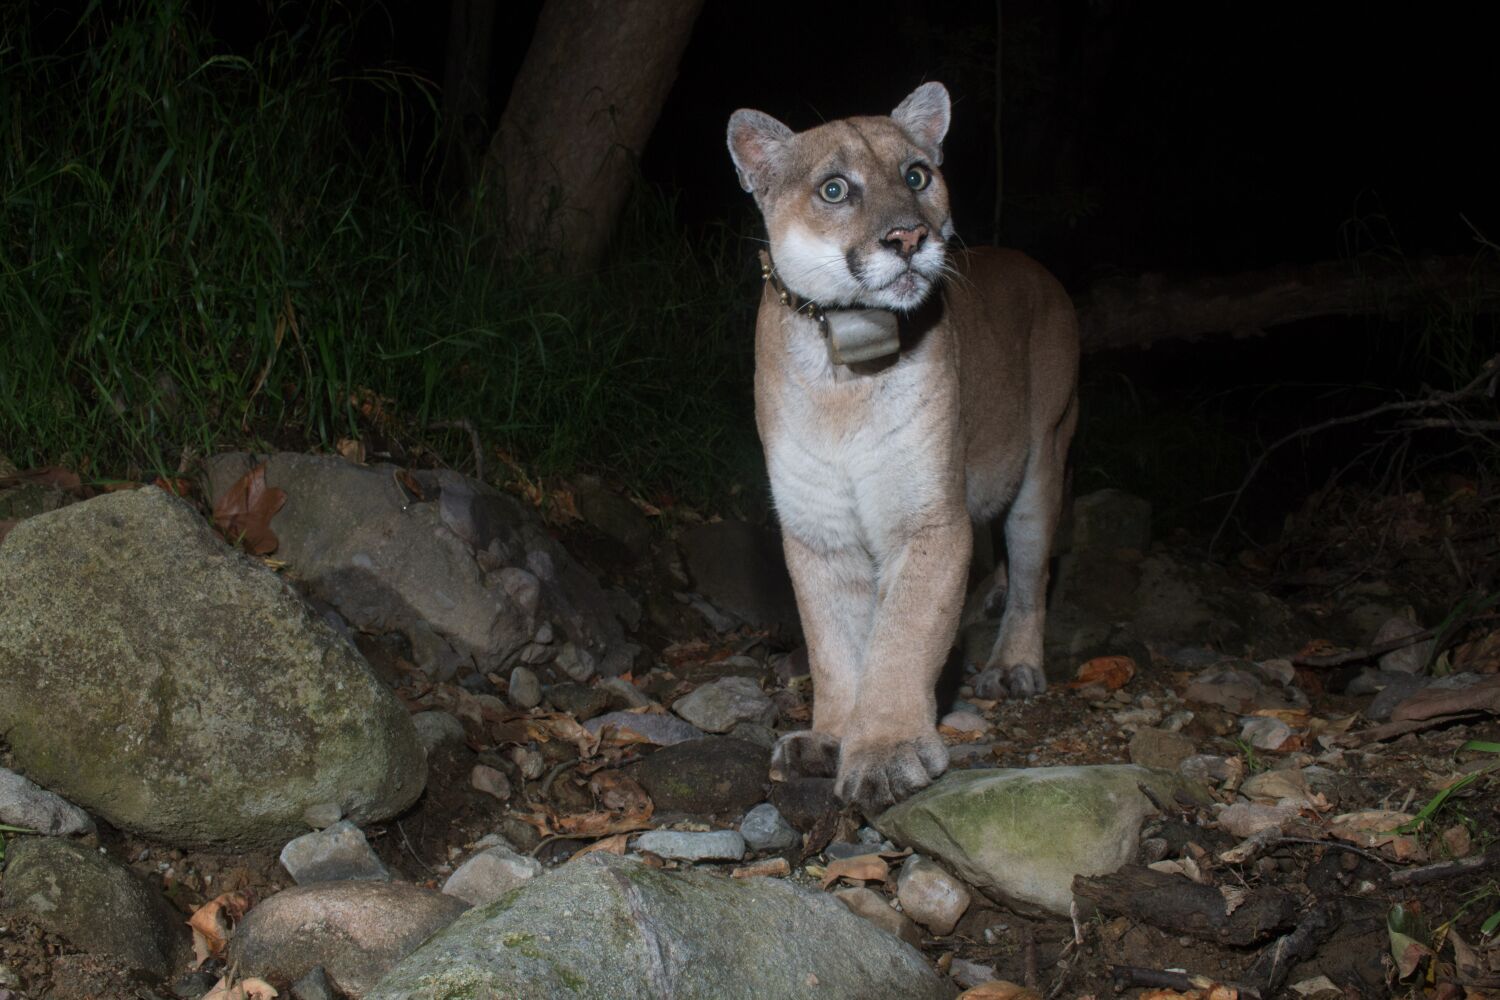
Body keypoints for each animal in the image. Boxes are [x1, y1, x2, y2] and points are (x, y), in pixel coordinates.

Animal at [726, 82, 1080, 809]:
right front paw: (830, 736)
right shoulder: (819, 529)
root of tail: (1036, 267)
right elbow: (835, 642)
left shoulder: (928, 521)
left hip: (1043, 464)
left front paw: (886, 750)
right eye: (835, 189)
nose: (909, 236)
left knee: (1033, 575)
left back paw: (1014, 666)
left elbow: (902, 633)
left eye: (917, 175)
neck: (844, 368)